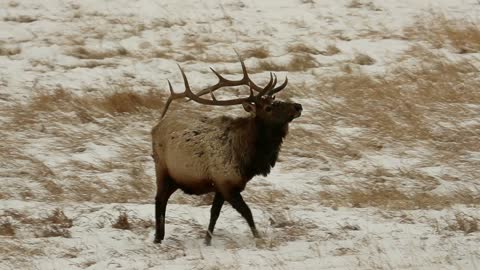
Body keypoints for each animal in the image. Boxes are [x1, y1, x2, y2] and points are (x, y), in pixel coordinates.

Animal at [152, 53, 302, 245]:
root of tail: (155, 128)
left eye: (276, 100)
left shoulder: (220, 186)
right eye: (268, 108)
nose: (298, 106)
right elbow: (247, 212)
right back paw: (158, 238)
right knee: (159, 200)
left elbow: (214, 214)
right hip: (163, 169)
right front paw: (259, 239)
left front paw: (207, 241)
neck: (250, 159)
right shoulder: (226, 183)